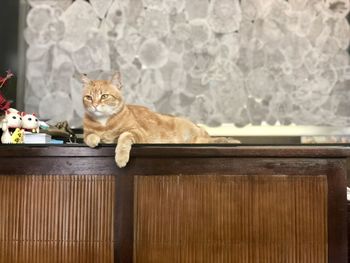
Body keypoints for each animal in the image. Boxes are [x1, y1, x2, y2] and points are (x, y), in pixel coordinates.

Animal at [81, 72, 237, 167]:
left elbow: (123, 138)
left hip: (195, 138)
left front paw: (121, 158)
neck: (104, 123)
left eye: (104, 96)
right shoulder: (86, 133)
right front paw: (95, 140)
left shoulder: (136, 132)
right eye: (88, 97)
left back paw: (230, 141)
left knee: (211, 139)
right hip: (196, 140)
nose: (94, 105)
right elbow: (89, 136)